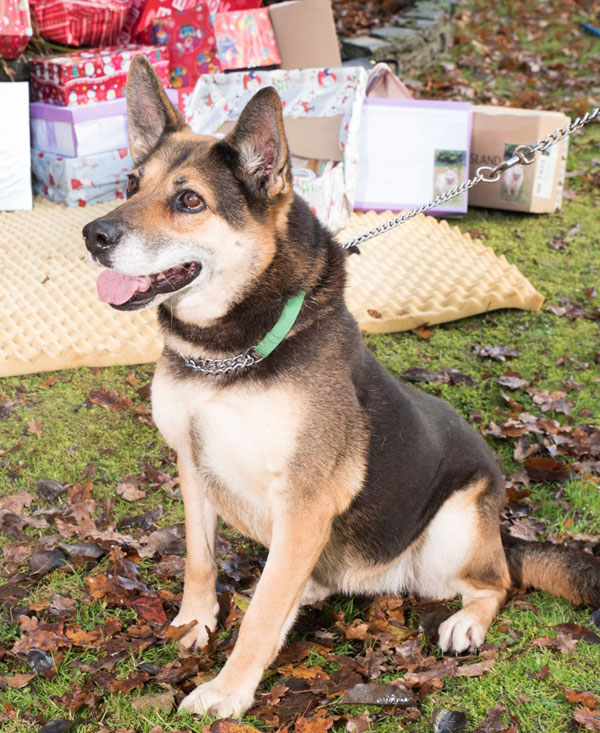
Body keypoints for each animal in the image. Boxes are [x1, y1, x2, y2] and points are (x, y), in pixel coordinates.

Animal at [83, 55, 600, 716]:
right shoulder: (193, 468)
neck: (227, 353)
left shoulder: (303, 501)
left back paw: (465, 621)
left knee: (497, 582)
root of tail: (499, 533)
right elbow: (200, 562)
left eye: (189, 200)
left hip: (452, 529)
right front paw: (194, 623)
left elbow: (259, 616)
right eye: (130, 185)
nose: (93, 235)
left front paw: (228, 689)